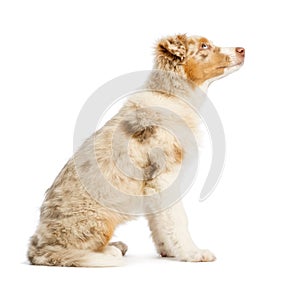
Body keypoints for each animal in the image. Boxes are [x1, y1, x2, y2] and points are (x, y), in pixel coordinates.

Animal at [27, 34, 244, 268]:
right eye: (204, 46)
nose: (242, 50)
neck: (171, 96)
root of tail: (35, 248)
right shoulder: (163, 177)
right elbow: (177, 219)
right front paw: (192, 253)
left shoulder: (153, 186)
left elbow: (159, 222)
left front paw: (169, 250)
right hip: (100, 218)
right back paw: (109, 251)